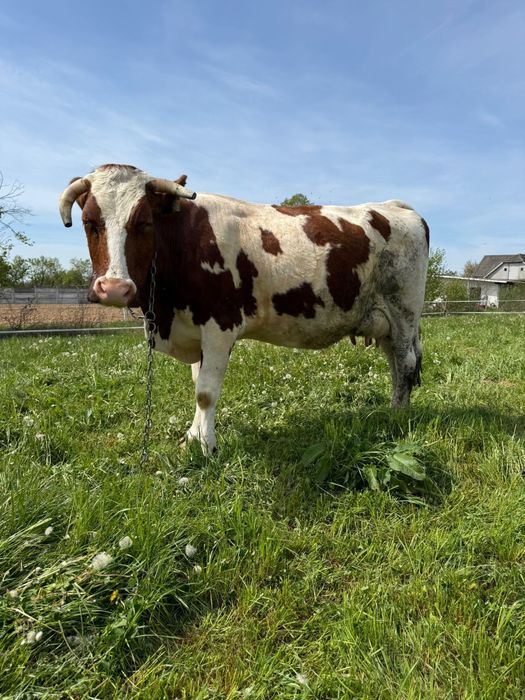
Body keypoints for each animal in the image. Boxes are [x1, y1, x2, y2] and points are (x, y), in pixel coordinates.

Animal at [59, 164, 429, 454]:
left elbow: (206, 392)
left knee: (405, 364)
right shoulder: (194, 330)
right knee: (395, 363)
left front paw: (206, 448)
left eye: (144, 223)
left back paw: (398, 417)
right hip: (383, 320)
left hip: (404, 312)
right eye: (90, 222)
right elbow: (197, 385)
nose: (114, 288)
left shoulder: (219, 325)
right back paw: (393, 410)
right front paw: (193, 437)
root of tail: (394, 205)